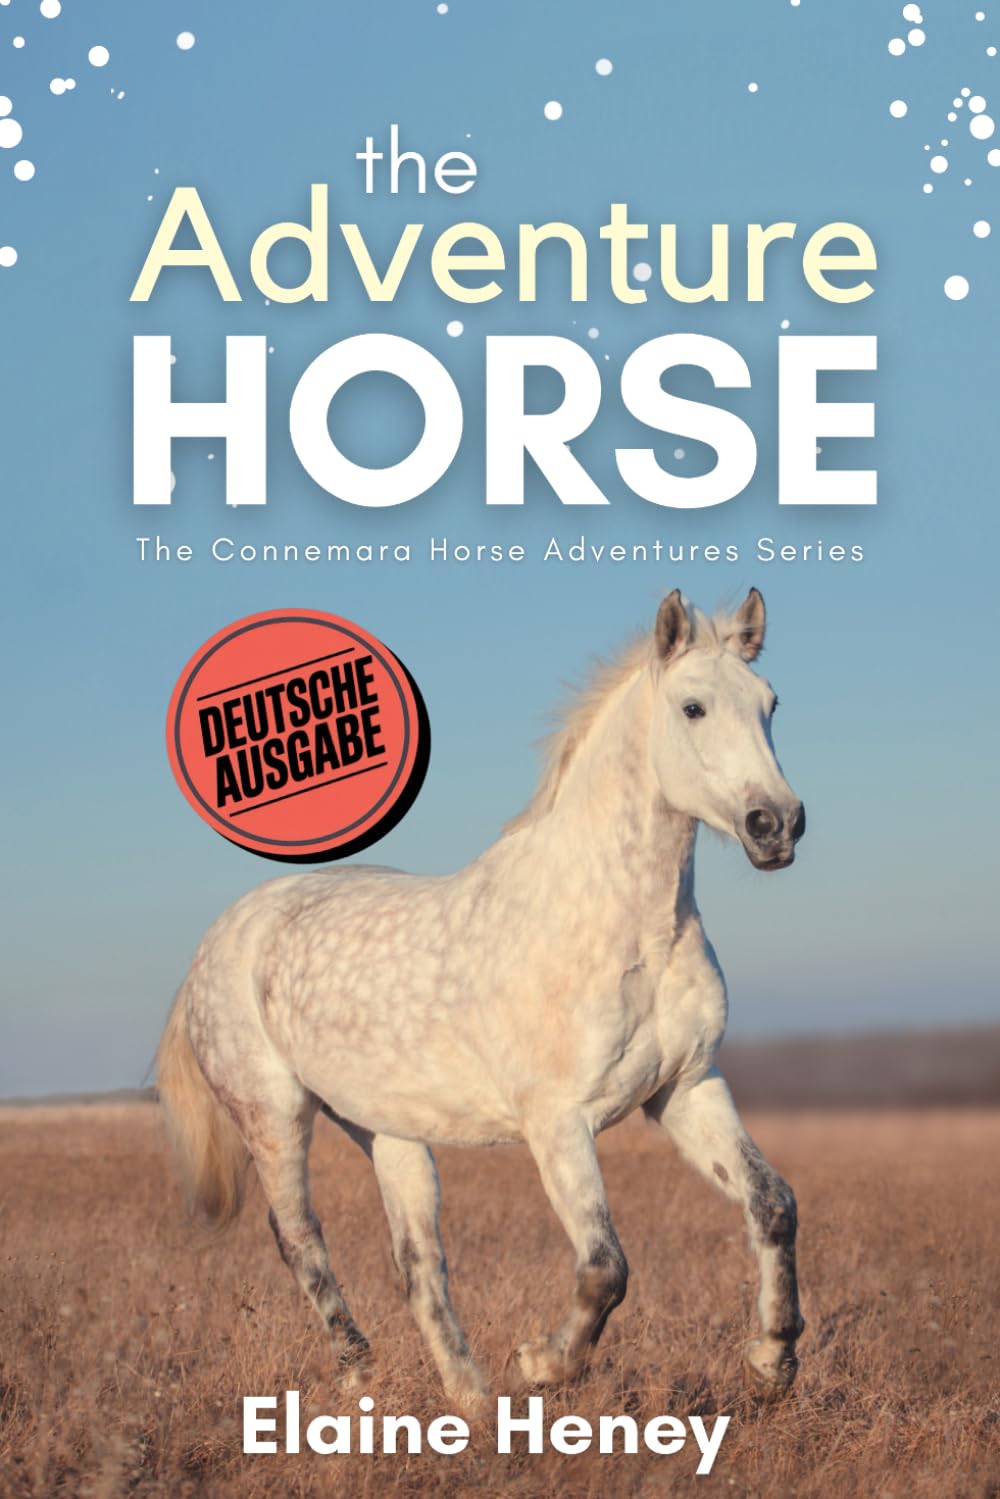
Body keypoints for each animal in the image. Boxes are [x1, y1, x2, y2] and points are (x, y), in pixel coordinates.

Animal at [157, 587, 806, 1407]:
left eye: (771, 703)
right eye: (693, 707)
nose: (777, 825)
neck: (629, 928)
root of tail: (219, 939)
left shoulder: (686, 1090)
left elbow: (771, 1204)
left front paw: (772, 1358)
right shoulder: (558, 1121)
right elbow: (606, 1265)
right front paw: (543, 1362)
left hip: (389, 1133)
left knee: (417, 1263)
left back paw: (470, 1401)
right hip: (273, 1116)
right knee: (300, 1239)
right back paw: (360, 1368)